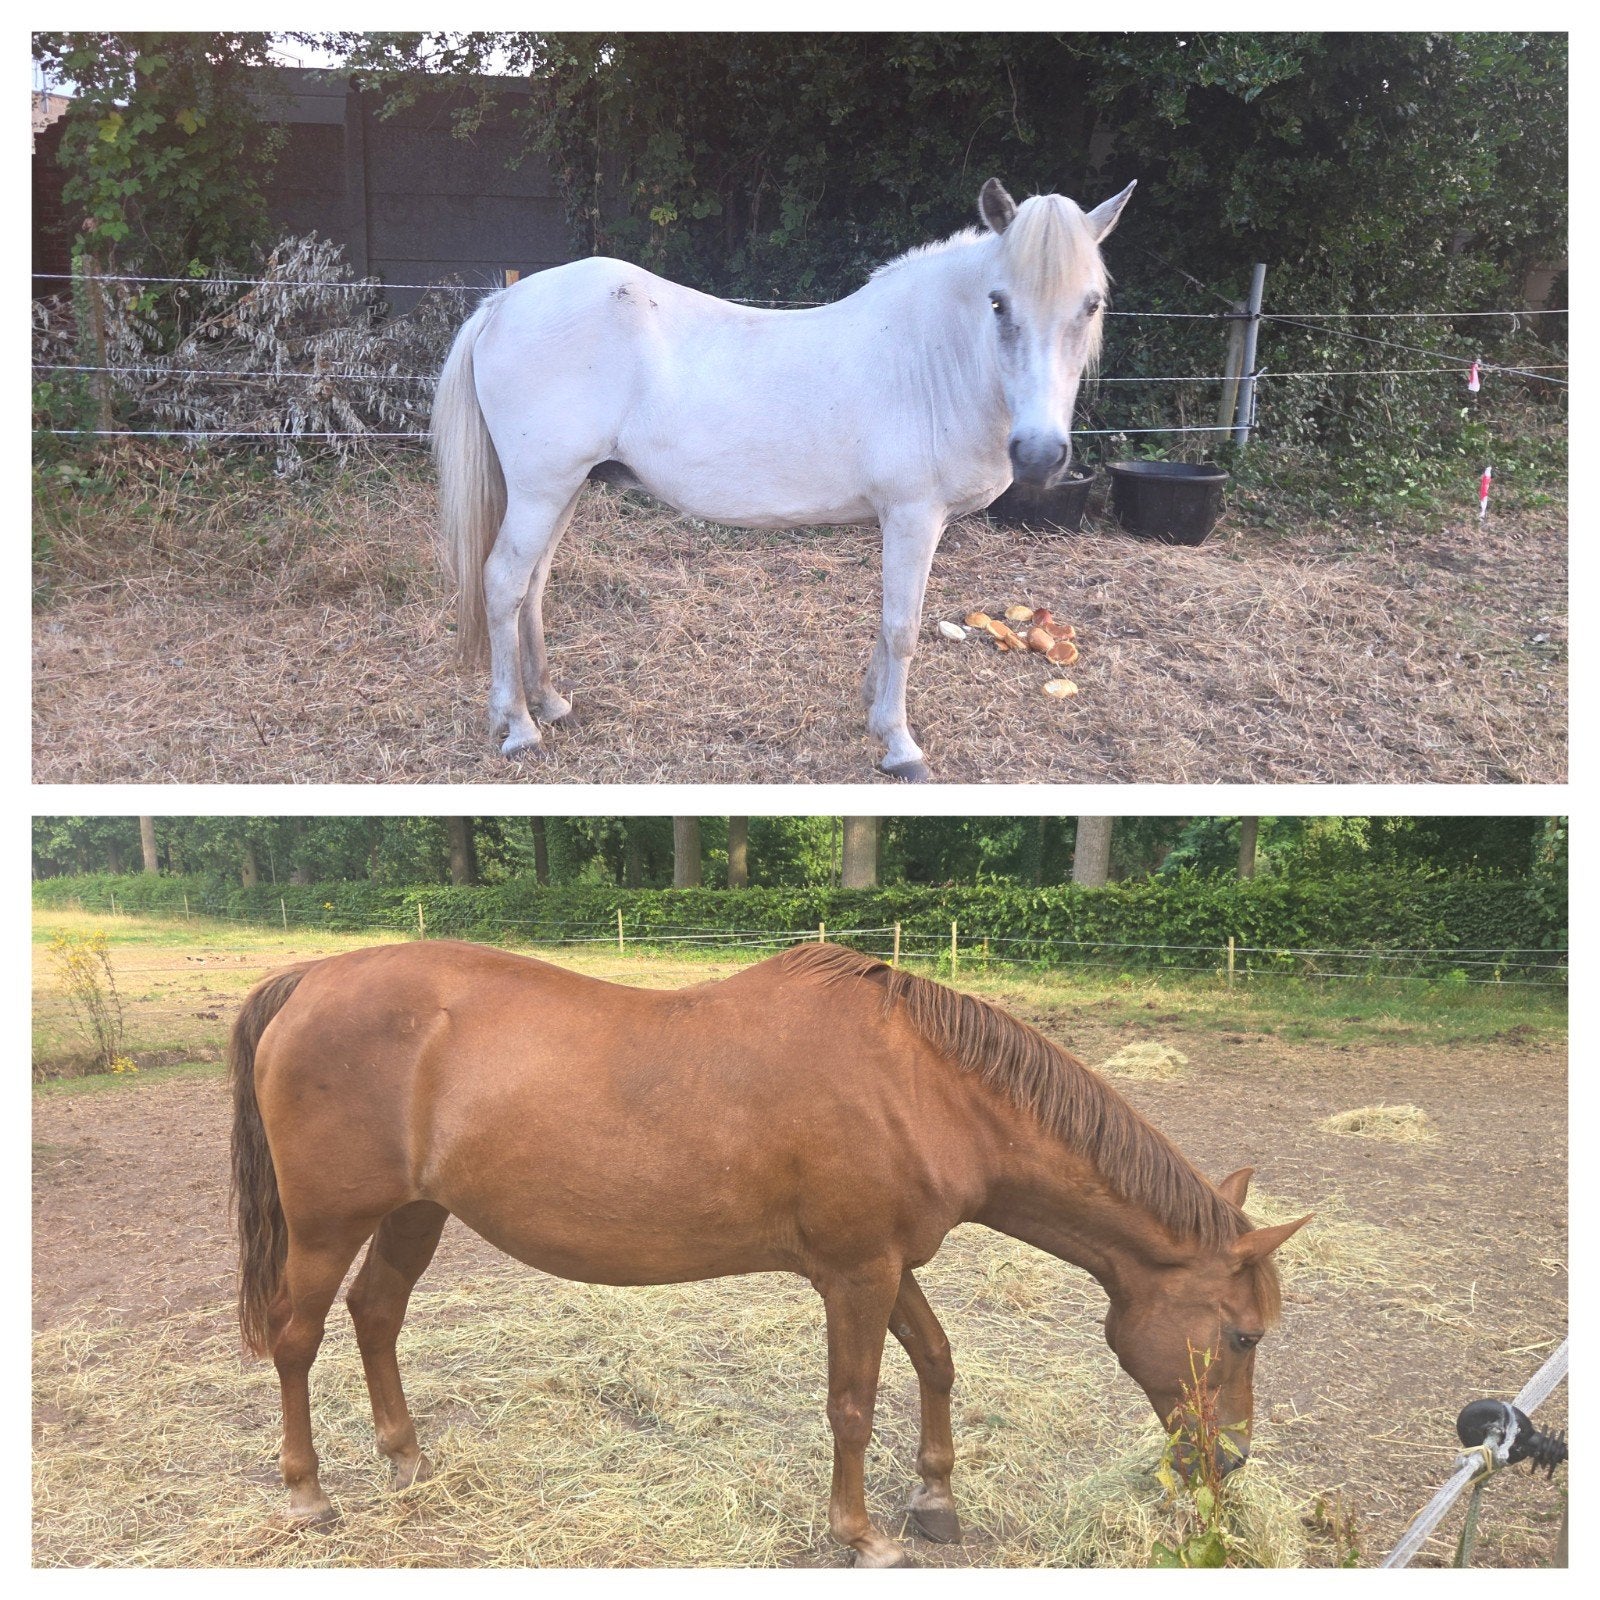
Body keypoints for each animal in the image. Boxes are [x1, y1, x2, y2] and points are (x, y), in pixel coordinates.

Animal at [229, 939, 1306, 1567]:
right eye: (1244, 1335)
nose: (1229, 1460)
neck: (922, 1083)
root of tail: (309, 979)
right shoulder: (855, 1275)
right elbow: (852, 1406)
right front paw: (862, 1537)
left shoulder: (887, 1265)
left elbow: (937, 1359)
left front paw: (935, 1498)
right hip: (328, 1228)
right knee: (296, 1337)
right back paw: (307, 1495)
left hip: (415, 1214)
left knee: (376, 1315)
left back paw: (407, 1460)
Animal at [433, 177, 1136, 781]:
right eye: (998, 302)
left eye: (1091, 304)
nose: (1039, 454)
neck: (930, 358)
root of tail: (503, 302)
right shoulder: (913, 516)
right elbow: (902, 627)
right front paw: (900, 745)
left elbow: (888, 623)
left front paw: (873, 710)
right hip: (541, 491)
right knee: (504, 583)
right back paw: (518, 727)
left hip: (565, 490)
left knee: (532, 588)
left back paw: (550, 703)